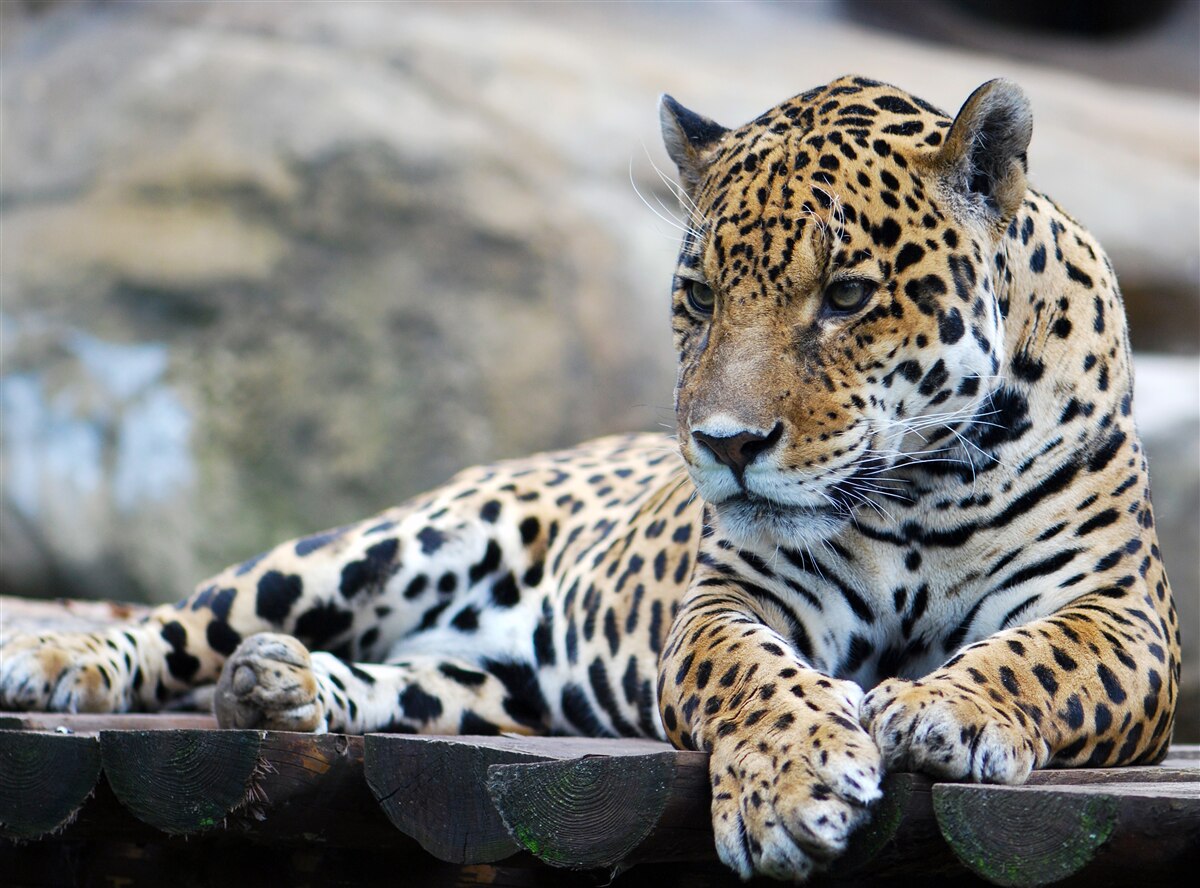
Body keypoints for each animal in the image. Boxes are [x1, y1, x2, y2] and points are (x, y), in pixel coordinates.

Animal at [0, 76, 1180, 882]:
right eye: (700, 297)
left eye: (847, 295)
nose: (725, 443)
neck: (912, 494)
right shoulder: (729, 601)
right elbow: (752, 676)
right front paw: (792, 780)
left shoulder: (1124, 619)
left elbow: (1041, 656)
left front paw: (945, 709)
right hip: (398, 541)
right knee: (190, 618)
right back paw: (67, 660)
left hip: (494, 689)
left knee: (416, 686)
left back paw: (285, 689)